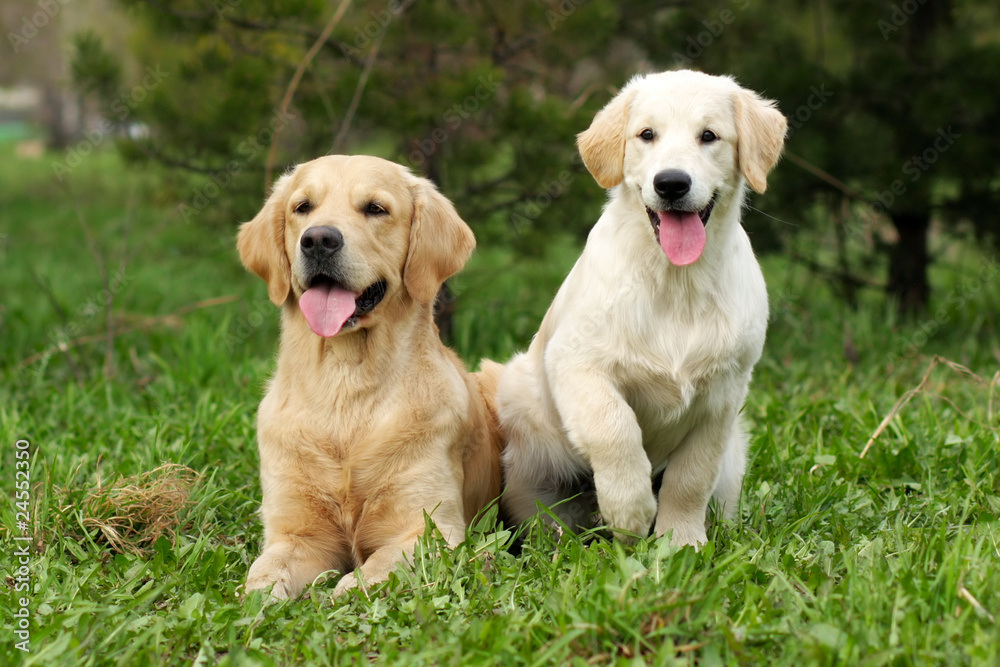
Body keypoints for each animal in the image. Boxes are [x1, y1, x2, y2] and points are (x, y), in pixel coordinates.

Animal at [239, 157, 504, 600]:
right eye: (302, 207)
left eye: (375, 209)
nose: (318, 240)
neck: (346, 384)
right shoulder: (296, 532)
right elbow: (263, 575)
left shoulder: (430, 528)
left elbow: (374, 570)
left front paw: (344, 594)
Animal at [496, 69, 784, 548]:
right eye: (647, 134)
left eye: (709, 135)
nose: (671, 183)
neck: (675, 281)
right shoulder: (576, 364)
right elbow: (615, 428)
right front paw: (629, 512)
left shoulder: (723, 396)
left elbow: (691, 477)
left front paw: (681, 541)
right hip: (522, 420)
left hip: (733, 459)